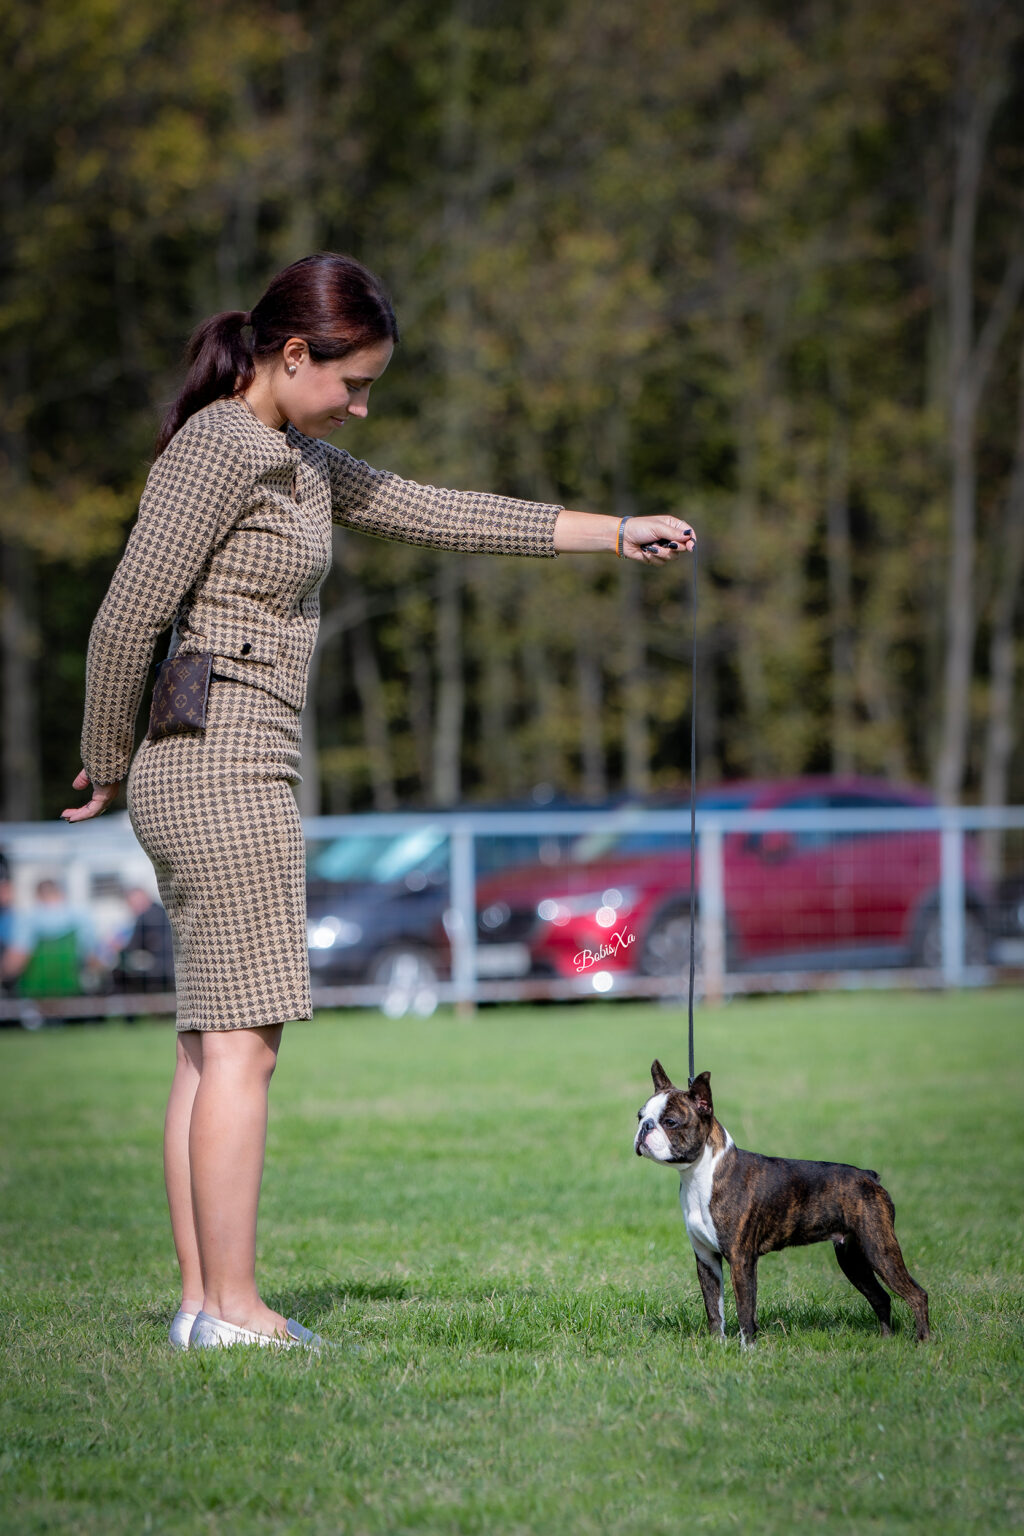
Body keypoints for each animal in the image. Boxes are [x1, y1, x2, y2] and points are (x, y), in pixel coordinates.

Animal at [632, 1056, 927, 1345]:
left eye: (670, 1122)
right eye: (640, 1116)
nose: (645, 1127)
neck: (701, 1174)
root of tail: (869, 1176)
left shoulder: (741, 1259)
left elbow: (745, 1310)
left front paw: (747, 1350)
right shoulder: (706, 1259)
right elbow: (714, 1309)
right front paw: (716, 1346)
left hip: (879, 1248)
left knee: (917, 1295)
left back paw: (923, 1342)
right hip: (852, 1257)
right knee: (881, 1297)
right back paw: (886, 1341)